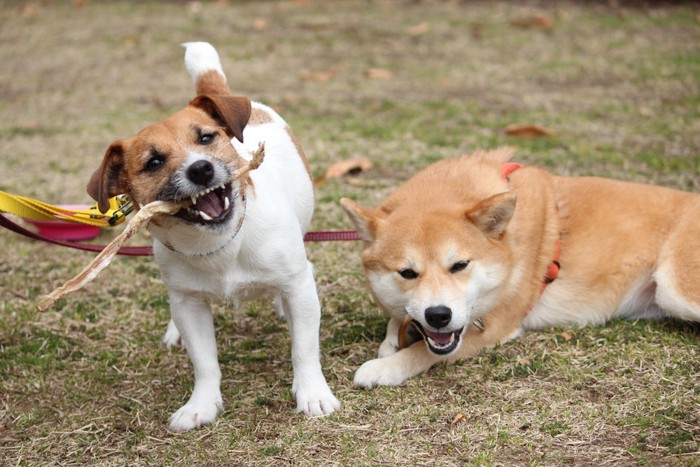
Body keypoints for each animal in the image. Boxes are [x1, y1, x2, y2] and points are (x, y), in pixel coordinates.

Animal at [340, 147, 700, 388]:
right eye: (407, 273)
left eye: (459, 265)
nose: (438, 315)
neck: (510, 246)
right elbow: (397, 323)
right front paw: (393, 338)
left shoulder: (493, 329)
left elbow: (423, 354)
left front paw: (383, 368)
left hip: (675, 288)